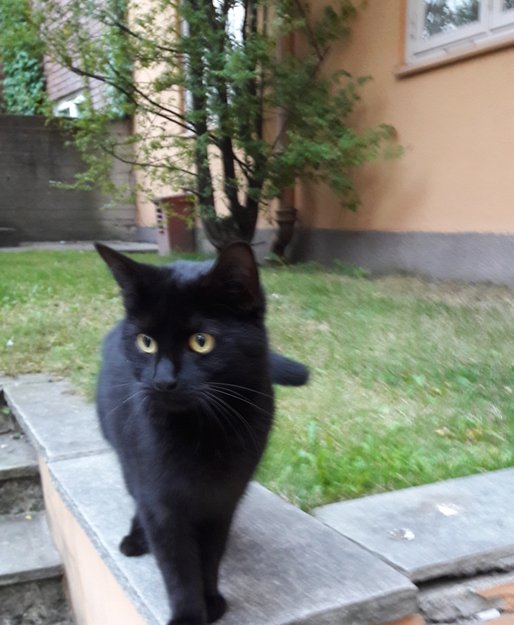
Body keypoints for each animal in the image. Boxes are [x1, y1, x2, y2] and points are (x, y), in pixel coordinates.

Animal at [95, 242, 308, 625]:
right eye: (146, 342)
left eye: (201, 341)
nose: (163, 381)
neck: (202, 432)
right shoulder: (162, 502)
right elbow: (178, 567)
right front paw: (189, 615)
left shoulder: (222, 499)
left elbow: (209, 556)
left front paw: (211, 601)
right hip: (127, 459)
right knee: (136, 496)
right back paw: (136, 537)